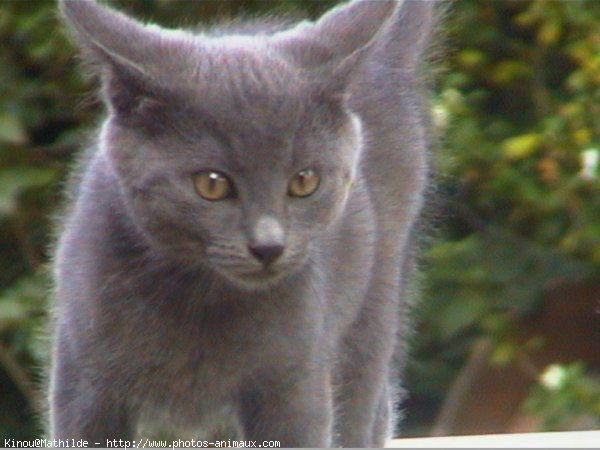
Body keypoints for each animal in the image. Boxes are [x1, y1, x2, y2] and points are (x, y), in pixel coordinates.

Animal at [51, 0, 436, 446]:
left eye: (304, 181)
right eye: (211, 184)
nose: (268, 245)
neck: (200, 302)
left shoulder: (295, 380)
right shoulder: (83, 378)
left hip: (375, 302)